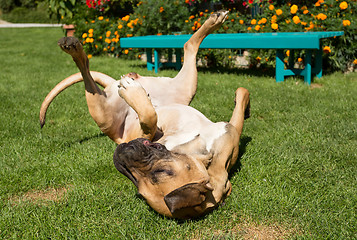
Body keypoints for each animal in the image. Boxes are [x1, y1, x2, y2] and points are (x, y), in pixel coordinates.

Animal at [39, 11, 249, 218]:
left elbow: (241, 94)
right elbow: (150, 118)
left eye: (159, 172)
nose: (121, 154)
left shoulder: (229, 134)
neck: (200, 151)